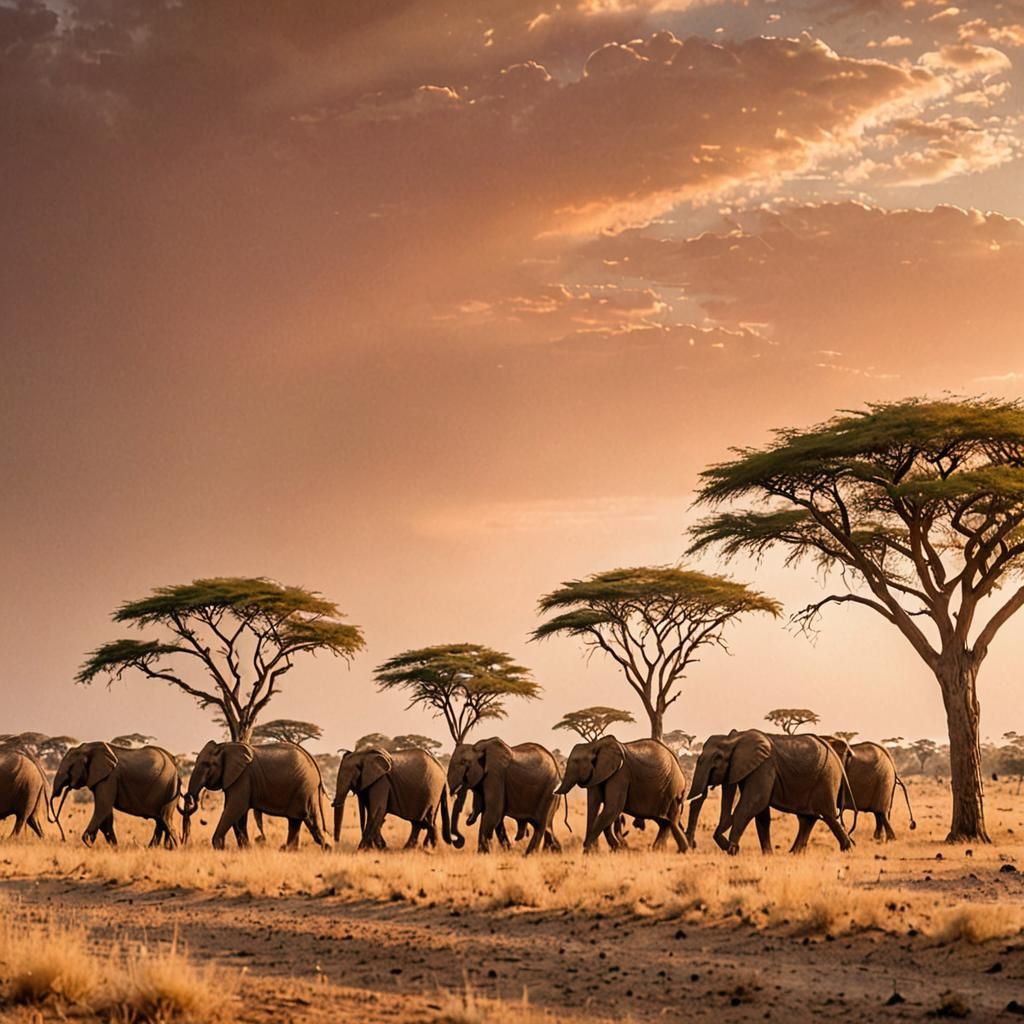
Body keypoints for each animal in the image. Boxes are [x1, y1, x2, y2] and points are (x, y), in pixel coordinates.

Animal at [184, 740, 328, 850]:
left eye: (207, 765)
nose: (192, 798)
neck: (224, 746)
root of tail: (314, 764)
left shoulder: (243, 777)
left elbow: (235, 808)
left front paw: (219, 846)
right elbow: (238, 814)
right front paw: (245, 849)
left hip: (305, 787)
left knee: (308, 818)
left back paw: (326, 849)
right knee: (296, 820)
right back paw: (292, 851)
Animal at [556, 736, 688, 853]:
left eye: (575, 762)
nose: (584, 845)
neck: (594, 745)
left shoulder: (621, 774)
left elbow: (612, 808)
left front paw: (588, 851)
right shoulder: (597, 774)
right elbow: (595, 805)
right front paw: (614, 849)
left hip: (672, 791)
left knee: (671, 820)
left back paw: (681, 851)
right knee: (664, 822)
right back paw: (658, 850)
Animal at [686, 730, 854, 855]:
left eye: (717, 758)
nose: (693, 845)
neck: (735, 738)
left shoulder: (764, 766)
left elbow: (754, 803)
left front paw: (732, 850)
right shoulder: (744, 768)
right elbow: (761, 813)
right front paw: (767, 854)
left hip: (826, 777)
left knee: (828, 815)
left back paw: (848, 850)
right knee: (809, 818)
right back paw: (794, 853)